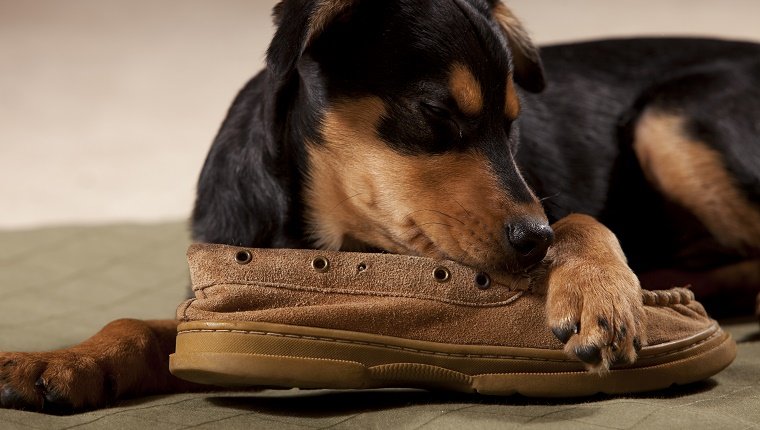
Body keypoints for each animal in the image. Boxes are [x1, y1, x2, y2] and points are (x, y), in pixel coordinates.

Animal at [1, 0, 760, 414]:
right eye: (434, 114)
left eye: (514, 126)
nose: (532, 243)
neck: (331, 239)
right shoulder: (213, 306)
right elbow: (138, 324)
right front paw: (58, 364)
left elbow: (576, 218)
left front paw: (599, 294)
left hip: (672, 115)